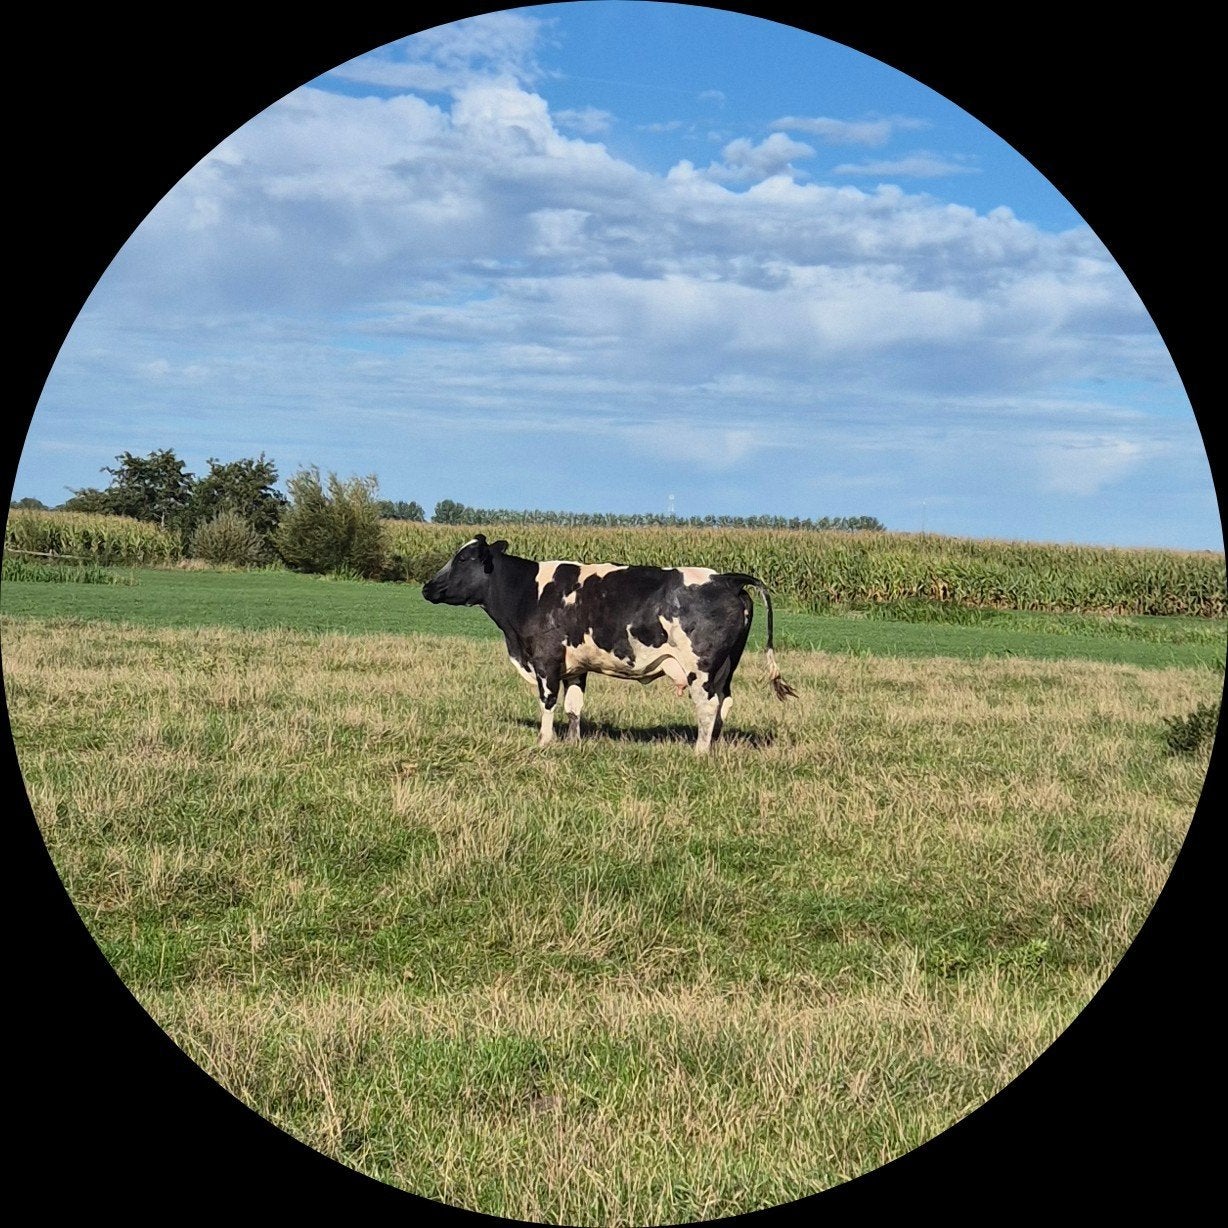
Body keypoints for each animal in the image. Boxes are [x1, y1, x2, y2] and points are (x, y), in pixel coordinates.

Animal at [421, 534, 797, 753]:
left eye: (463, 559)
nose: (427, 587)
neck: (529, 591)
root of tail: (726, 578)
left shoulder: (546, 659)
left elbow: (548, 702)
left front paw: (544, 741)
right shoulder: (575, 666)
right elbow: (574, 706)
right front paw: (573, 743)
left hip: (700, 667)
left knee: (707, 706)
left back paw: (699, 752)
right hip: (727, 666)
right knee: (724, 703)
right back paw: (713, 745)